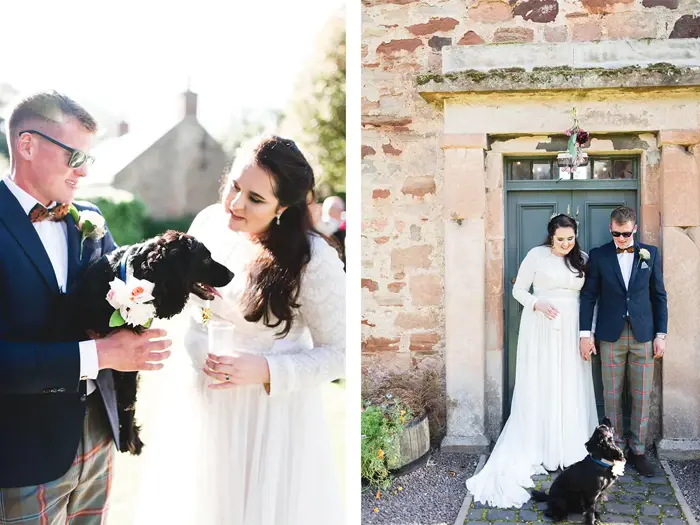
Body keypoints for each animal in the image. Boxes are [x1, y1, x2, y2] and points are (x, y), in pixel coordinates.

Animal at [55, 229, 235, 454]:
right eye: (206, 258)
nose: (232, 274)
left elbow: (128, 398)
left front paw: (130, 436)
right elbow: (127, 397)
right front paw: (130, 437)